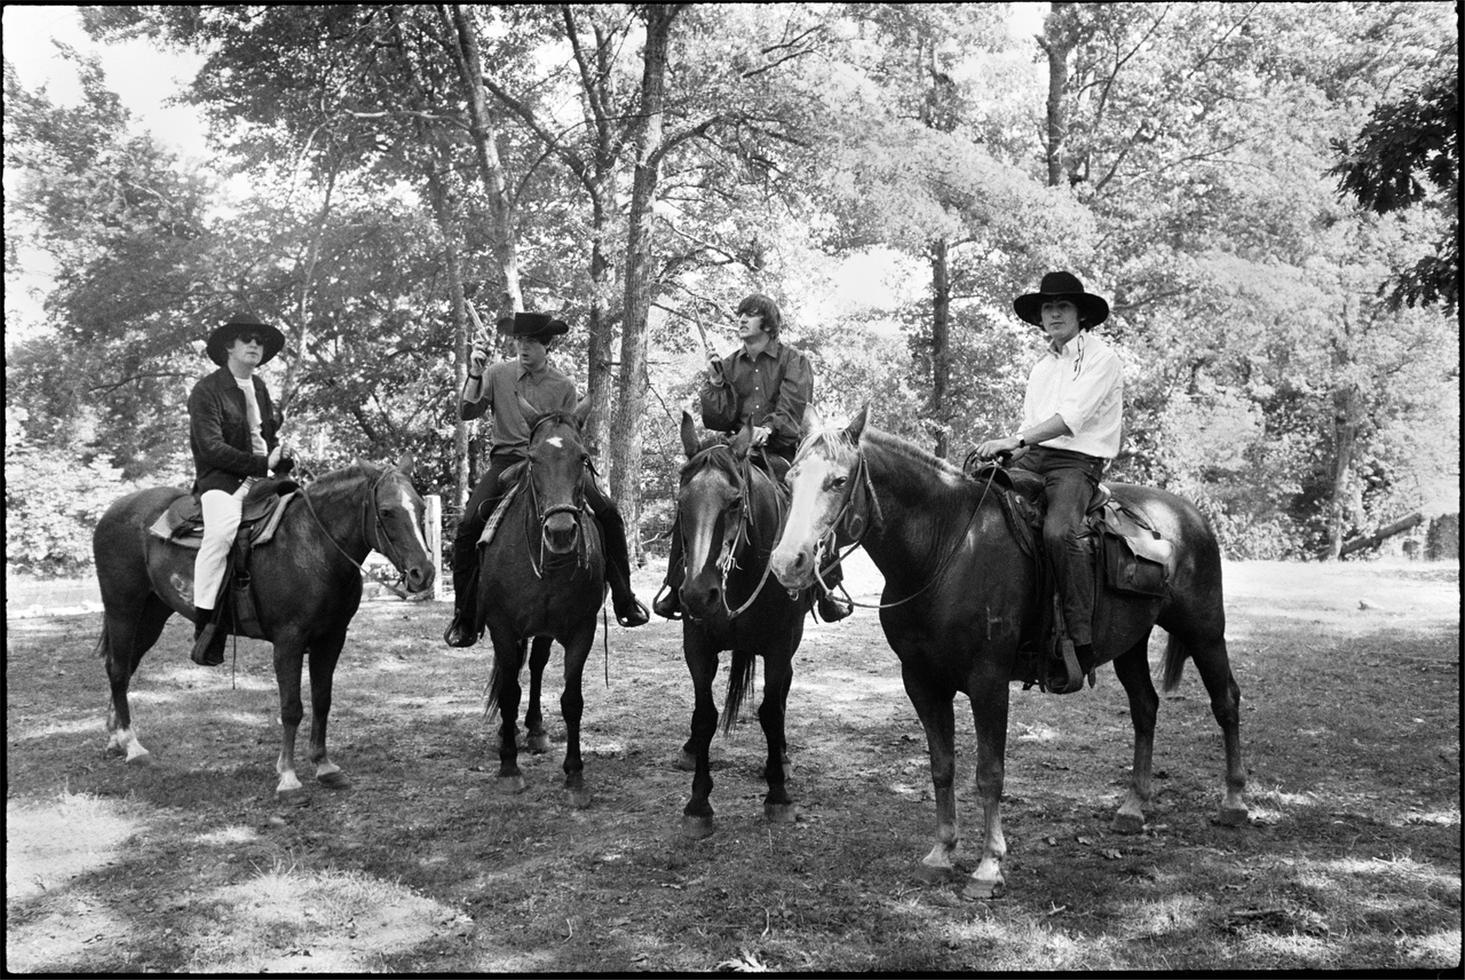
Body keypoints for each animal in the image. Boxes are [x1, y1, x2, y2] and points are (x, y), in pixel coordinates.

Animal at [91, 454, 430, 796]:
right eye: (386, 511)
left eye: (421, 507)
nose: (423, 573)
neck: (313, 546)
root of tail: (113, 511)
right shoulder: (288, 642)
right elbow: (291, 708)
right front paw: (288, 777)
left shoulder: (332, 639)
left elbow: (322, 700)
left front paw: (324, 766)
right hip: (123, 609)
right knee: (118, 670)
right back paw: (132, 746)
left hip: (151, 614)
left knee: (123, 667)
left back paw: (116, 738)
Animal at [474, 398, 600, 802]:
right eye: (533, 458)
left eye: (582, 457)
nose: (560, 532)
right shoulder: (501, 625)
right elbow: (509, 692)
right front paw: (509, 766)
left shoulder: (582, 629)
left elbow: (572, 700)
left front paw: (574, 775)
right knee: (513, 673)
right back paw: (510, 733)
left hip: (544, 630)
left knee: (537, 664)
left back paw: (535, 729)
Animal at [668, 410, 808, 837]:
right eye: (681, 501)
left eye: (734, 501)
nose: (699, 594)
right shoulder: (697, 646)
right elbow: (704, 717)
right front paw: (698, 804)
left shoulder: (780, 645)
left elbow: (771, 711)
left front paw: (778, 795)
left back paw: (782, 759)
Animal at [767, 410, 1248, 896]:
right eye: (790, 478)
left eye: (838, 480)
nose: (787, 562)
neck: (946, 550)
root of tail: (1189, 514)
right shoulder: (921, 681)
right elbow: (942, 766)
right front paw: (942, 853)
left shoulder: (989, 682)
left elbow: (989, 773)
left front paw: (988, 865)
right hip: (1130, 644)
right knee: (1145, 708)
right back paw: (1133, 807)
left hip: (1205, 631)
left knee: (1225, 701)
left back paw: (1234, 801)